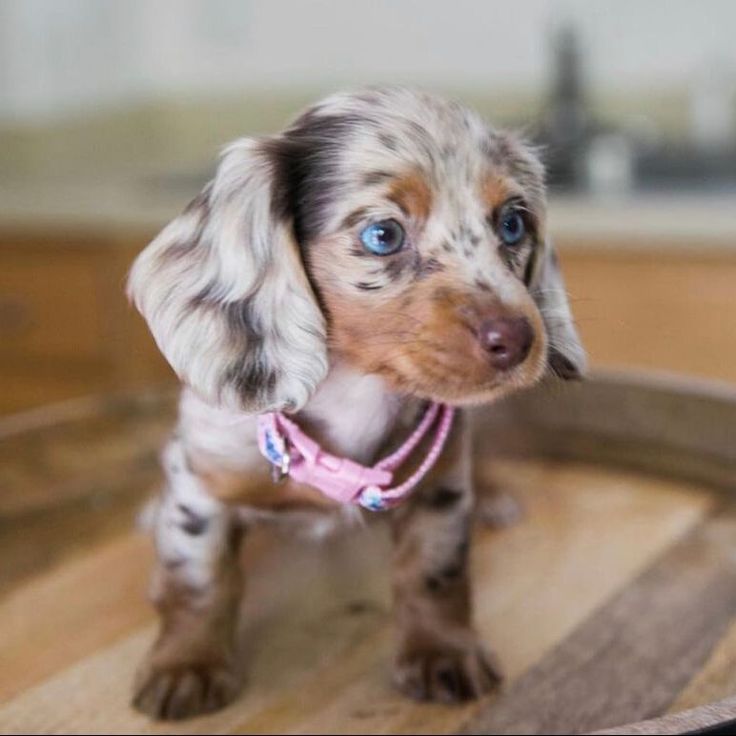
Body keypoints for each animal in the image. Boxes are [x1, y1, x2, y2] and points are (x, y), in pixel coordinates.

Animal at [126, 87, 588, 720]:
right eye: (382, 235)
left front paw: (442, 651)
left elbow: (434, 574)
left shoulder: (441, 484)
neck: (356, 393)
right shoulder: (200, 483)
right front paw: (186, 664)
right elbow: (198, 581)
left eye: (513, 224)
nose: (518, 341)